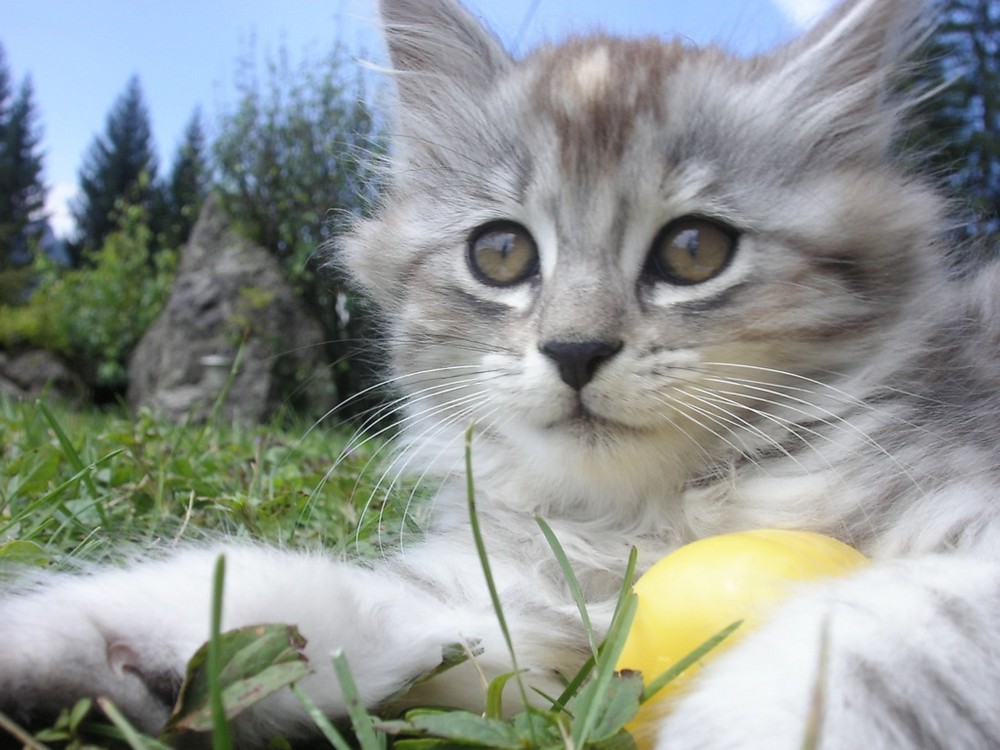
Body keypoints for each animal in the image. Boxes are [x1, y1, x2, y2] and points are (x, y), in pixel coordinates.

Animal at [1, 0, 1000, 748]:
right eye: (502, 253)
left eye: (693, 250)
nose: (576, 350)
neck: (644, 519)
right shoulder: (506, 615)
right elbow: (275, 598)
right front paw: (57, 650)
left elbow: (886, 630)